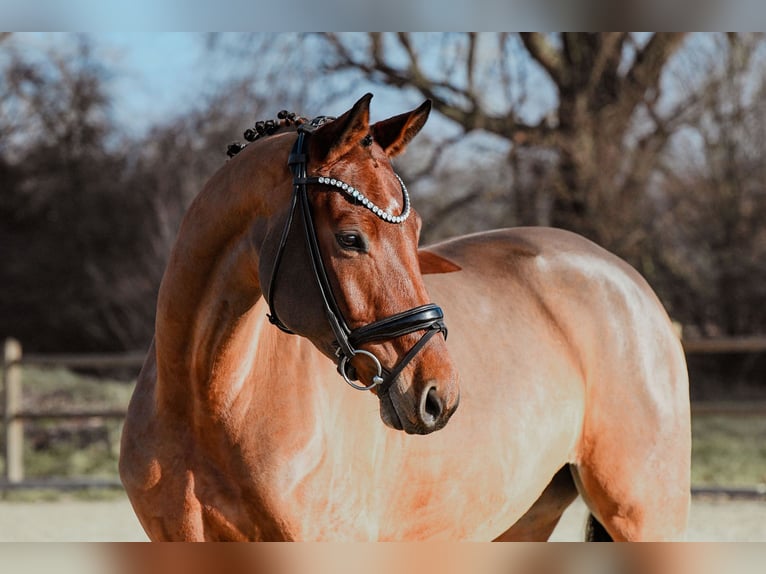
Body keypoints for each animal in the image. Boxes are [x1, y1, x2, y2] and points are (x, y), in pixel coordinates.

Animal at [120, 94, 691, 541]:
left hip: (645, 515)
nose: (439, 395)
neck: (205, 398)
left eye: (415, 232)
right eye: (351, 238)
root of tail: (625, 279)